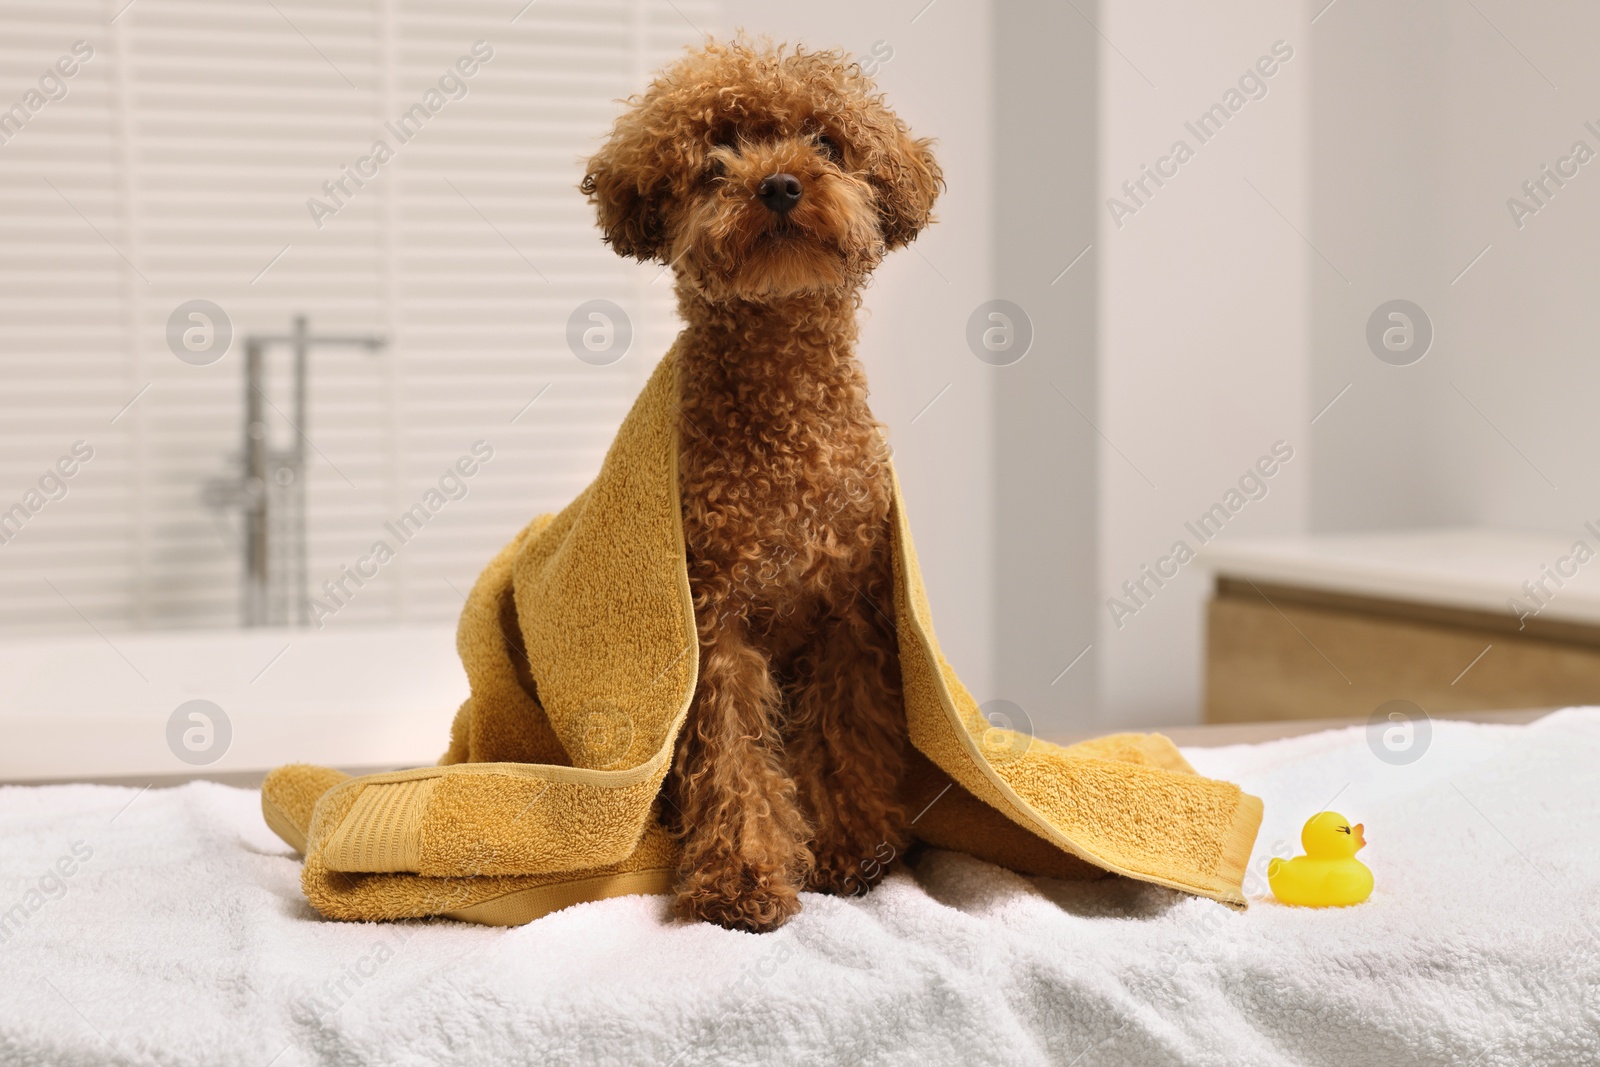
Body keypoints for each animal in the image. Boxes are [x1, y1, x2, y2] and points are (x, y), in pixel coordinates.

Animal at [585, 37, 934, 927]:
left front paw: (852, 848)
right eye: (719, 151)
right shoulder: (716, 617)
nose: (779, 183)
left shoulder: (848, 611)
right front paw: (742, 877)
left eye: (825, 143)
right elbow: (734, 756)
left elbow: (844, 737)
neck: (786, 435)